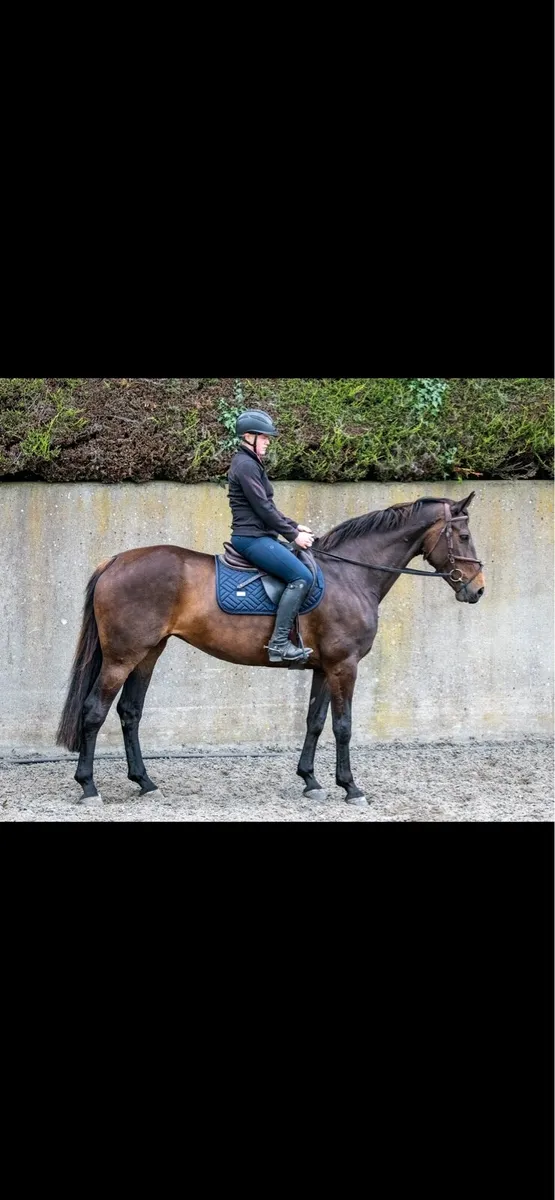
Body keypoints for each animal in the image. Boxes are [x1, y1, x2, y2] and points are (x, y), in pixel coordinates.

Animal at [56, 492, 484, 807]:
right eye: (463, 536)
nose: (477, 590)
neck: (350, 575)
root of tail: (115, 561)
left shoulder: (324, 668)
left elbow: (315, 722)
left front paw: (311, 781)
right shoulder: (344, 665)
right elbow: (343, 726)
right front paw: (351, 788)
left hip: (148, 653)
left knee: (130, 713)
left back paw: (144, 782)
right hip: (121, 657)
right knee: (94, 712)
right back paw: (89, 787)